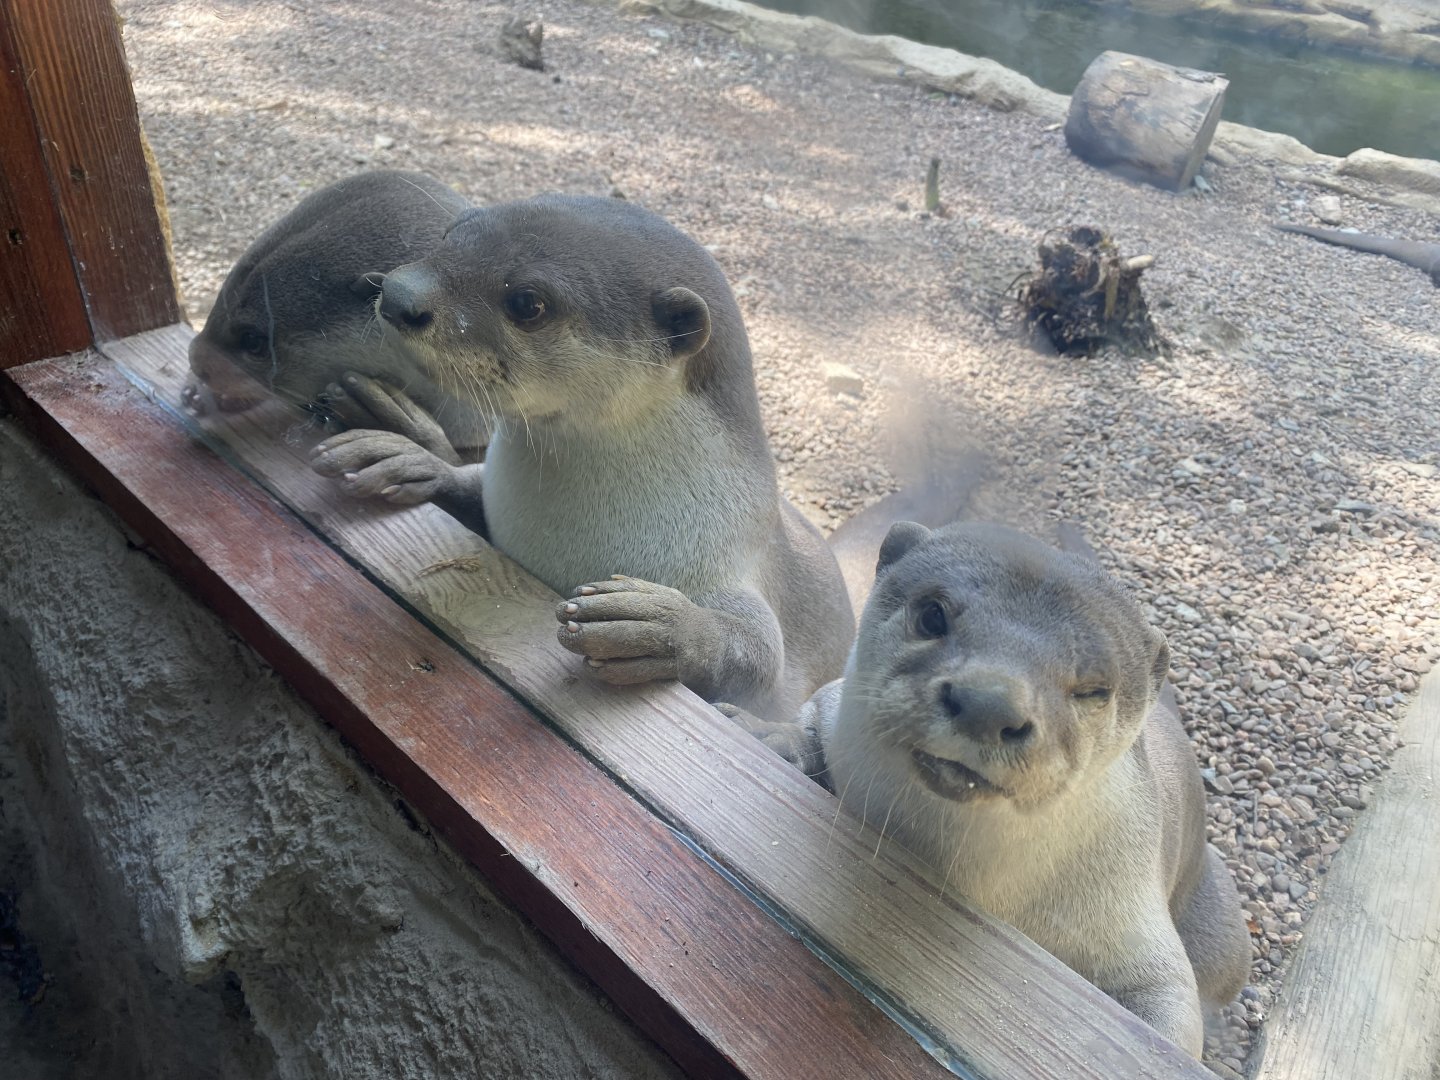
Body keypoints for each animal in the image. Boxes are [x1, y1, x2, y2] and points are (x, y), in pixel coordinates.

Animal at [310, 194, 855, 717]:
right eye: (450, 234)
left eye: (527, 302)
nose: (398, 293)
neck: (571, 535)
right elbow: (468, 482)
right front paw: (411, 460)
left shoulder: (734, 562)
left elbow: (757, 656)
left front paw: (655, 625)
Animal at [722, 520, 1250, 1055]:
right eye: (932, 615)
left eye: (1094, 690)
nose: (988, 703)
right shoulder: (830, 704)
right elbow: (804, 723)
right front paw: (766, 734)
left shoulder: (1136, 923)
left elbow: (1167, 1008)